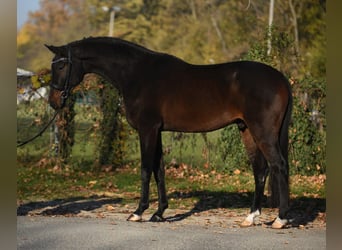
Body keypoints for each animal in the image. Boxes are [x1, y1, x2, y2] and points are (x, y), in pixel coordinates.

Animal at [44, 36, 292, 229]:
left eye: (60, 66)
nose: (53, 101)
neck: (136, 73)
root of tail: (281, 78)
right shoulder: (157, 131)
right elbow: (159, 170)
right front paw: (159, 213)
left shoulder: (147, 129)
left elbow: (145, 169)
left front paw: (138, 212)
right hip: (247, 130)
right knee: (260, 170)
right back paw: (251, 217)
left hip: (262, 131)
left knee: (278, 166)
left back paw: (280, 219)